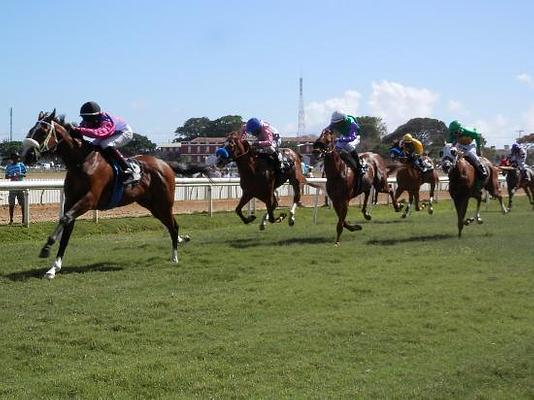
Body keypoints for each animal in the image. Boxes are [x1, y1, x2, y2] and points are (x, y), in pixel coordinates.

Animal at [23, 109, 211, 278]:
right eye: (31, 129)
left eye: (43, 131)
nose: (27, 155)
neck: (81, 162)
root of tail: (165, 164)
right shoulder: (71, 201)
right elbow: (66, 230)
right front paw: (53, 268)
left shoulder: (89, 199)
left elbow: (65, 218)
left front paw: (46, 248)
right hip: (152, 205)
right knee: (170, 224)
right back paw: (181, 241)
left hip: (164, 202)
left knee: (173, 226)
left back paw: (175, 256)